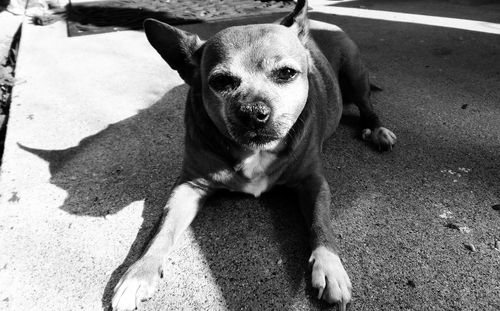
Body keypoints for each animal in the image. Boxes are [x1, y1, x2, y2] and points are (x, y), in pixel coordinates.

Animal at [111, 1, 396, 310]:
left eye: (286, 73)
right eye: (221, 81)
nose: (253, 112)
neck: (254, 152)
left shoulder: (313, 182)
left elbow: (321, 223)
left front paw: (330, 266)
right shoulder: (188, 186)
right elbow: (161, 232)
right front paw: (140, 271)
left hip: (354, 74)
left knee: (367, 104)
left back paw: (377, 129)